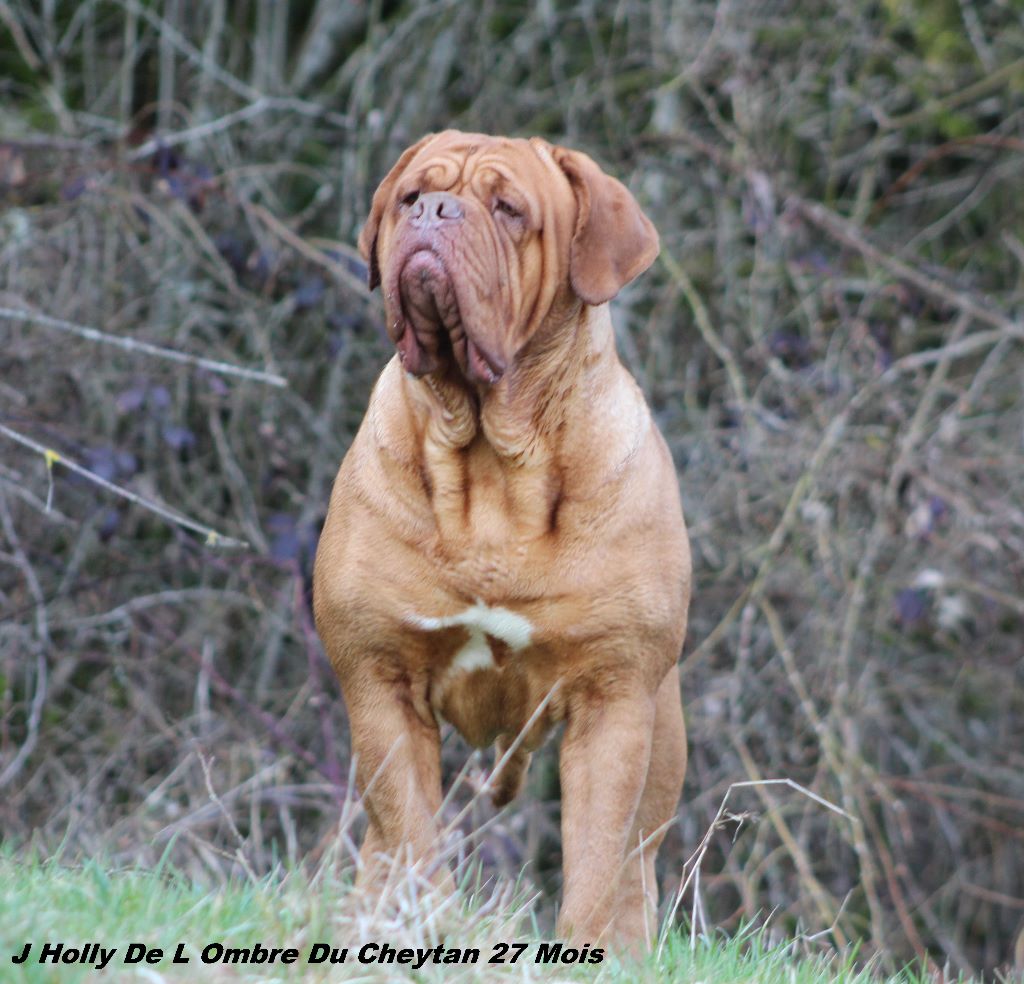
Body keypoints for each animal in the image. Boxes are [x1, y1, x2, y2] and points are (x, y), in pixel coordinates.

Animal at [311, 132, 692, 946]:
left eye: (510, 209)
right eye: (408, 195)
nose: (433, 210)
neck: (492, 457)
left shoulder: (613, 697)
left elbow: (597, 861)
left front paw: (588, 948)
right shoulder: (380, 679)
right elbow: (411, 835)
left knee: (635, 868)